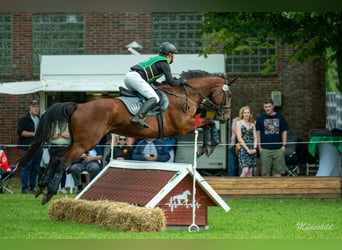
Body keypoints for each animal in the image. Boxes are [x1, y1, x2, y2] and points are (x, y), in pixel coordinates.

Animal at [18, 69, 232, 204]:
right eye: (228, 95)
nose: (226, 116)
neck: (183, 95)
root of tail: (78, 105)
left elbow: (207, 123)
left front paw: (207, 146)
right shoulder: (182, 125)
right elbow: (208, 122)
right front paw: (210, 144)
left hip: (79, 141)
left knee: (56, 156)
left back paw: (40, 187)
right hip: (85, 142)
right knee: (62, 160)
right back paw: (48, 193)